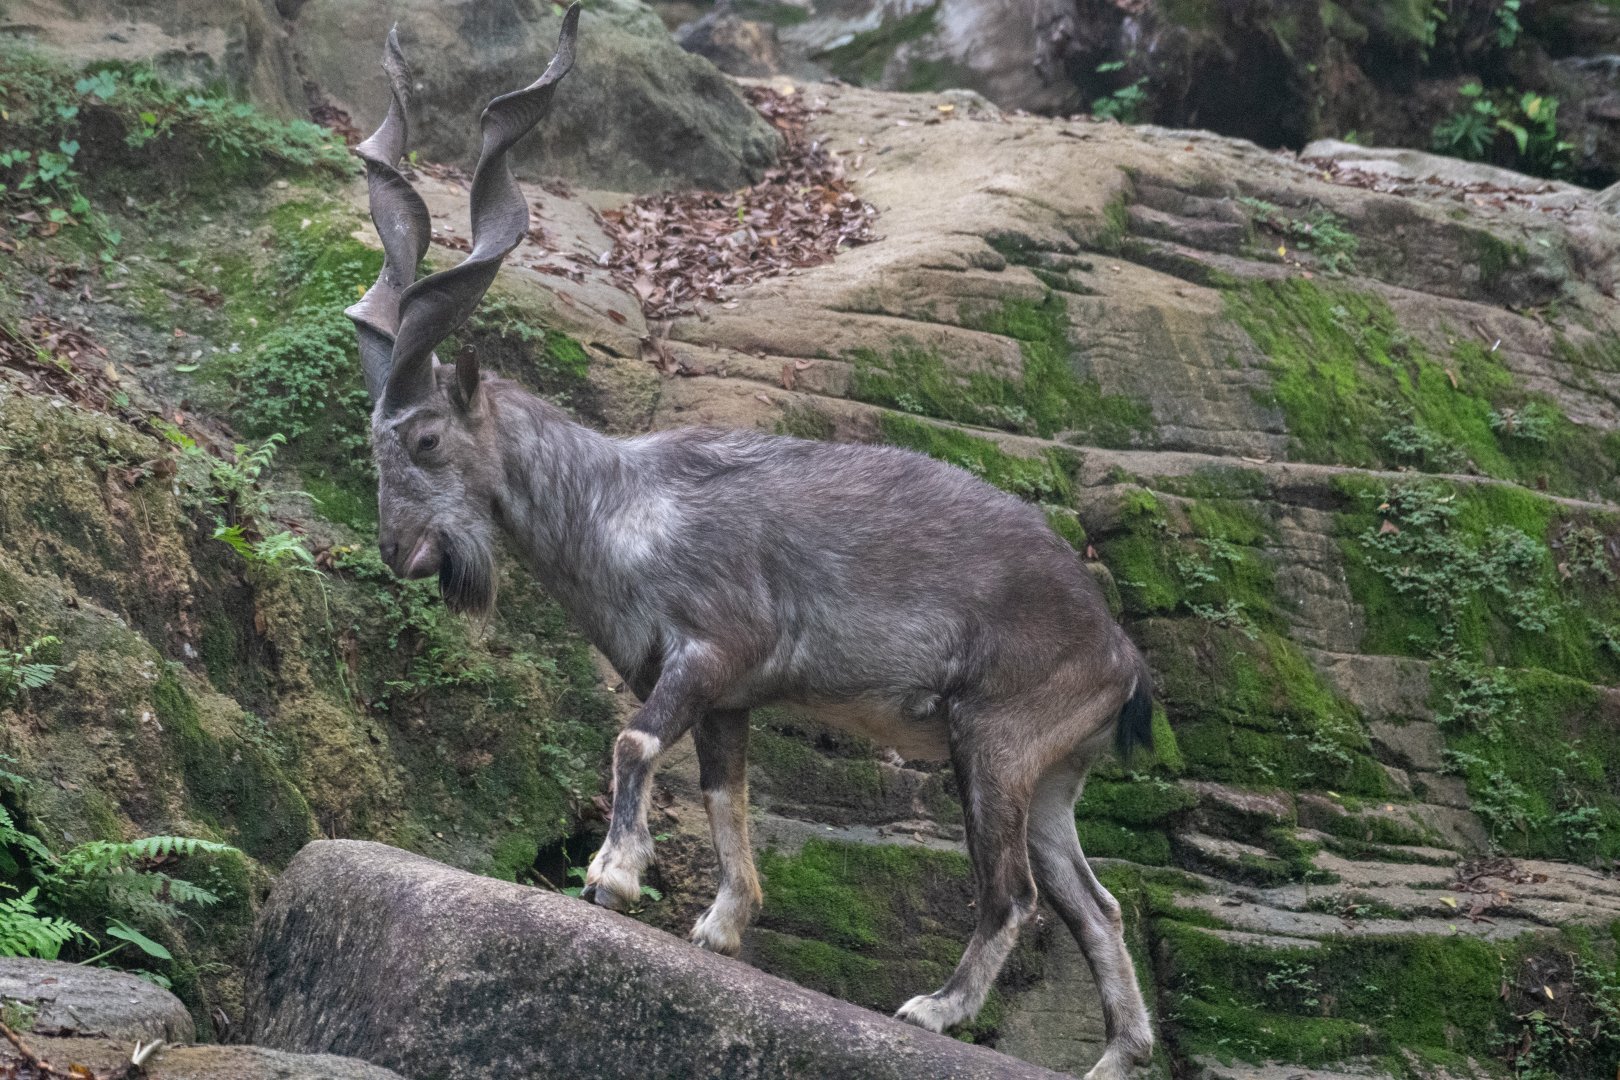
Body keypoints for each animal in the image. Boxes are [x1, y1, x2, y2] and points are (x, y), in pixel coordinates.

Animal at [345, 9, 1155, 1078]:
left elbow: (635, 737)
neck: (617, 505)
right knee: (1095, 905)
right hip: (1053, 777)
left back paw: (935, 1010)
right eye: (375, 444)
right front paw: (722, 927)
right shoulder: (728, 699)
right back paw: (1114, 1054)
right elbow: (724, 796)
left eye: (429, 441)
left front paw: (613, 877)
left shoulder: (710, 648)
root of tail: (1121, 655)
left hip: (995, 744)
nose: (400, 554)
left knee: (1014, 894)